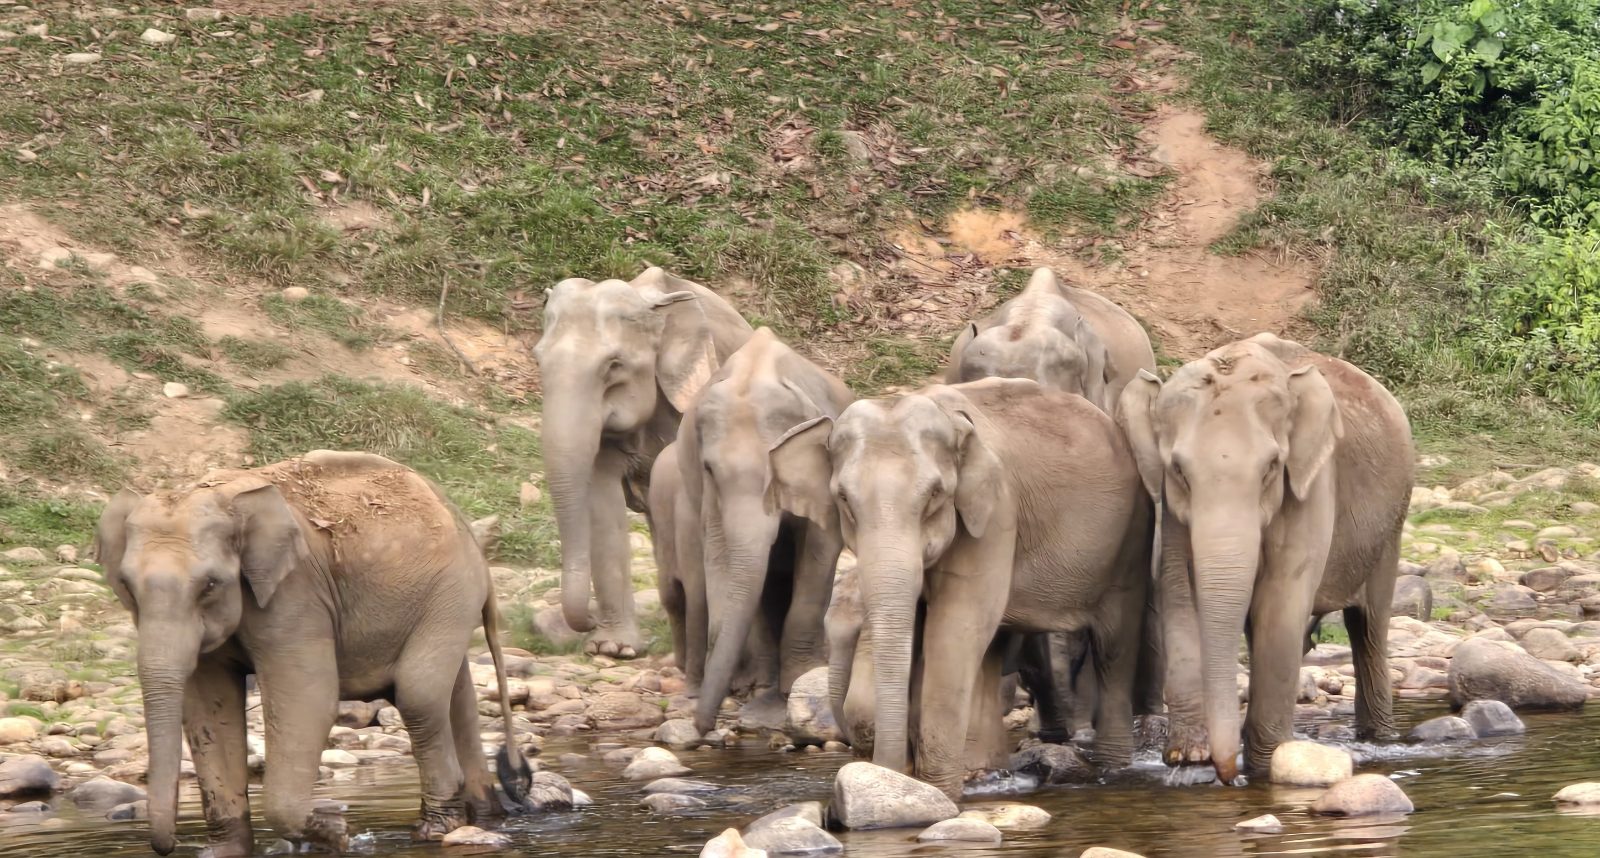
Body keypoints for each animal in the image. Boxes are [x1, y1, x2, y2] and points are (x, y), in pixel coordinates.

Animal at [92, 451, 529, 857]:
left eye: (210, 584)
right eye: (126, 585)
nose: (167, 846)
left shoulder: (295, 593)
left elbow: (309, 700)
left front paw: (336, 831)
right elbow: (208, 711)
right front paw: (225, 852)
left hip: (449, 593)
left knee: (417, 696)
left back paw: (436, 830)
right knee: (454, 696)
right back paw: (485, 816)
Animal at [680, 327, 854, 734]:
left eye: (776, 470)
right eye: (709, 469)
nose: (702, 727)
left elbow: (820, 547)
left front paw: (798, 680)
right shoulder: (708, 493)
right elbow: (723, 555)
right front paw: (759, 690)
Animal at [773, 377, 1153, 799]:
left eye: (935, 495)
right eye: (843, 498)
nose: (889, 768)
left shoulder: (995, 512)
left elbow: (955, 628)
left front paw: (938, 791)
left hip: (1130, 536)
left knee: (1113, 646)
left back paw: (1113, 768)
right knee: (993, 646)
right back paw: (988, 771)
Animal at [1117, 333, 1414, 784]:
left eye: (1271, 467)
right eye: (1179, 470)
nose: (1228, 775)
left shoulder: (1311, 484)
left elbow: (1282, 600)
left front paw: (1266, 760)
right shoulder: (1170, 509)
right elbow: (1178, 590)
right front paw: (1187, 758)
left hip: (1392, 521)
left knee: (1369, 624)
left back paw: (1379, 737)